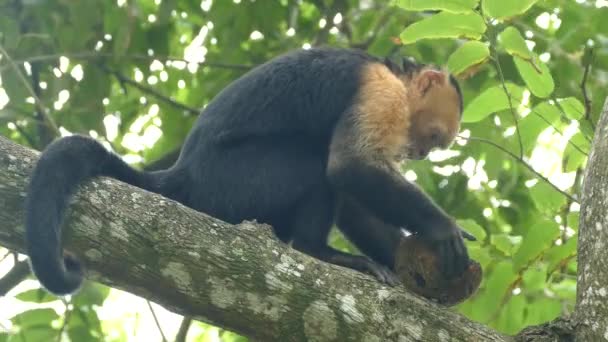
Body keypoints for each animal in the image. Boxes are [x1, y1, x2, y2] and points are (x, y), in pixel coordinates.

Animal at [25, 46, 476, 296]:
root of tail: (185, 174)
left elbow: (352, 196)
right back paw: (318, 252)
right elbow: (349, 166)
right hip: (233, 183)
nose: (418, 153)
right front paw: (443, 228)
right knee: (312, 162)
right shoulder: (382, 93)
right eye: (432, 136)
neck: (394, 75)